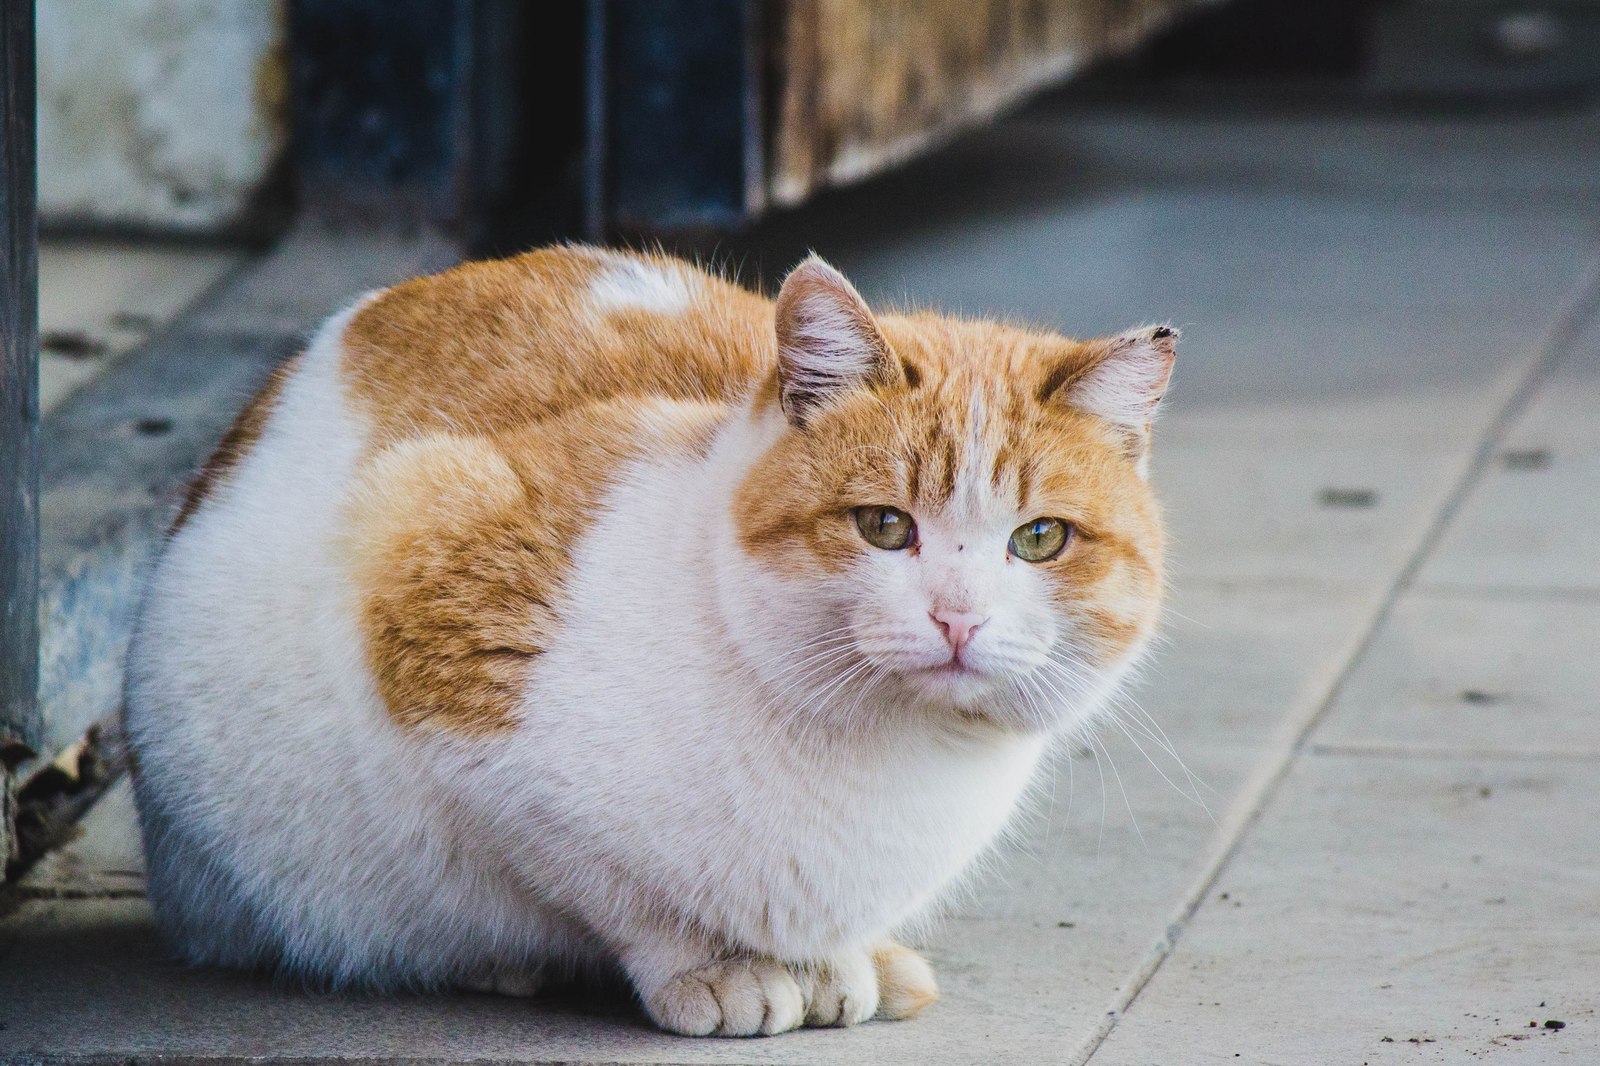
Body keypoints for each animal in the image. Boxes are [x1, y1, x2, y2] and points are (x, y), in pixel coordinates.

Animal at [121, 243, 1177, 1030]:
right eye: (885, 526)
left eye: (1038, 539)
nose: (958, 617)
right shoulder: (427, 578)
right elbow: (616, 890)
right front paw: (714, 969)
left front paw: (843, 959)